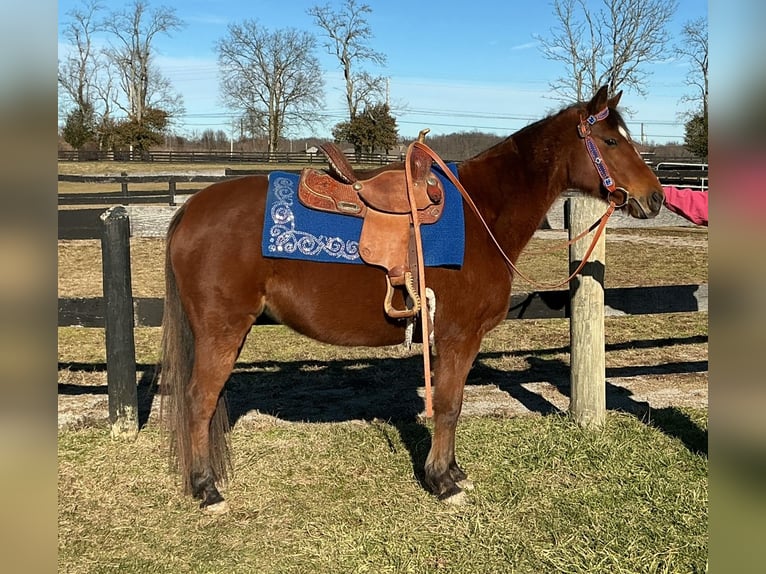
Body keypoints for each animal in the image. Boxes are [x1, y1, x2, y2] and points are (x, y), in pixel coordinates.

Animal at [160, 85, 664, 512]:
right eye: (610, 141)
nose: (656, 198)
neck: (482, 214)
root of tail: (191, 210)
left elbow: (452, 404)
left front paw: (454, 472)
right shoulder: (458, 336)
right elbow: (449, 404)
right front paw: (442, 481)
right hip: (221, 329)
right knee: (199, 400)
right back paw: (206, 490)